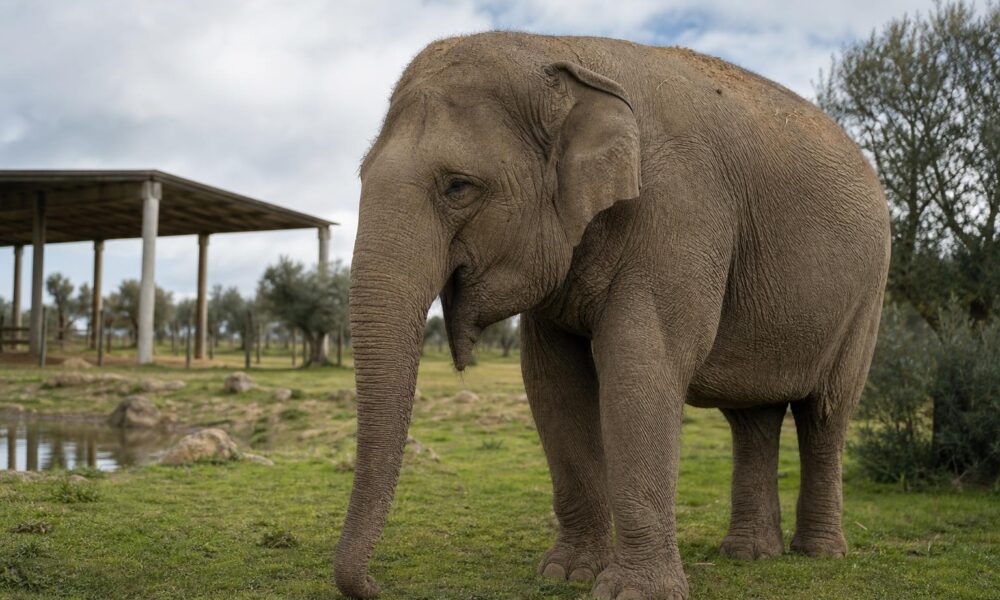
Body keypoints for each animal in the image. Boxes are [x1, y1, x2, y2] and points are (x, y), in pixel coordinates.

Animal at [335, 32, 890, 600]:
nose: (375, 584)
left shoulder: (680, 212)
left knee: (826, 413)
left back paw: (818, 553)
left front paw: (632, 593)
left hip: (869, 295)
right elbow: (553, 382)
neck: (561, 54)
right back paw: (748, 555)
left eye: (458, 187)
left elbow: (639, 363)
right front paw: (568, 574)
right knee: (752, 418)